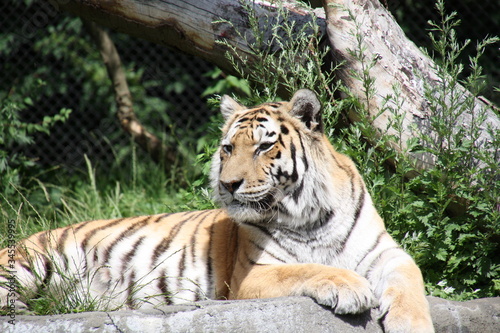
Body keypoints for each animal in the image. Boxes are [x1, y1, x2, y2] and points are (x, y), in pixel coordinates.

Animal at [0, 89, 432, 330]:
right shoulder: (252, 274)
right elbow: (308, 268)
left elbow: (412, 282)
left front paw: (409, 324)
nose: (227, 185)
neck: (312, 217)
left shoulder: (387, 252)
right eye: (228, 148)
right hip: (30, 264)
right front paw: (352, 288)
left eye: (263, 146)